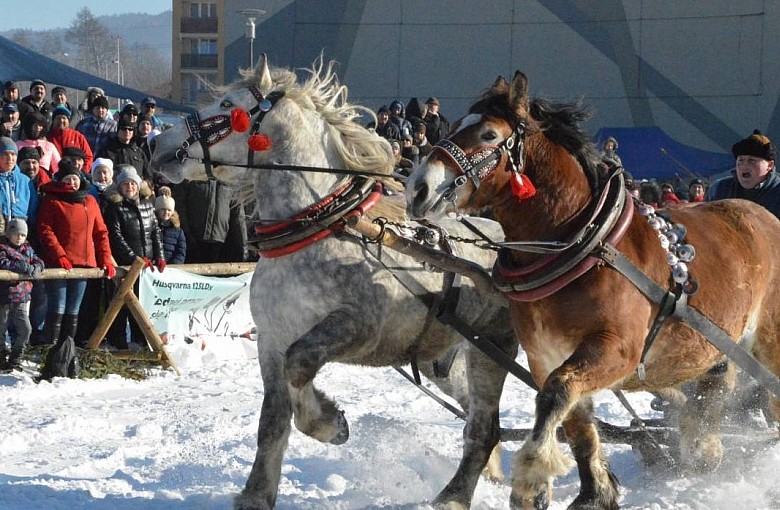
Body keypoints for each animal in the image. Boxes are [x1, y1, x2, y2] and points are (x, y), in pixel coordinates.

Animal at [406, 69, 780, 508]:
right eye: (453, 126)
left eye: (488, 134)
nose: (417, 188)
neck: (582, 244)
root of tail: (762, 216)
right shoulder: (548, 354)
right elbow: (576, 423)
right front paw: (594, 493)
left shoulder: (617, 350)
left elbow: (556, 394)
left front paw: (531, 477)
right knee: (712, 394)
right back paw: (703, 449)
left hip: (769, 345)